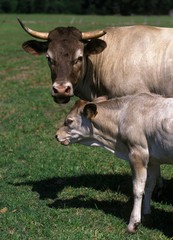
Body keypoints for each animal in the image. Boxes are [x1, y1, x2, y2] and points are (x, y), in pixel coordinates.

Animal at [55, 94, 173, 232]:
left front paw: (133, 224)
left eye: (69, 121)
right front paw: (146, 214)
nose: (56, 135)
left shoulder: (137, 153)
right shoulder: (153, 159)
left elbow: (138, 189)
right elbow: (149, 185)